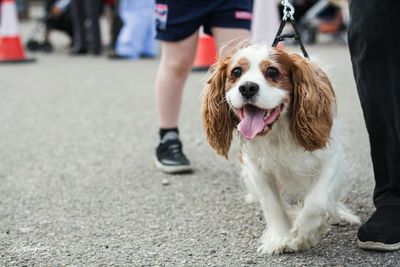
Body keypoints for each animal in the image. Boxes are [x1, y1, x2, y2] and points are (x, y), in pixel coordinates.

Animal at [202, 45, 360, 255]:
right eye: (236, 72)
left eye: (272, 71)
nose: (247, 87)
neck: (278, 131)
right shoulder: (256, 168)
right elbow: (273, 205)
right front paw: (281, 238)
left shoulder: (331, 156)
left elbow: (317, 201)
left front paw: (305, 233)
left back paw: (337, 214)